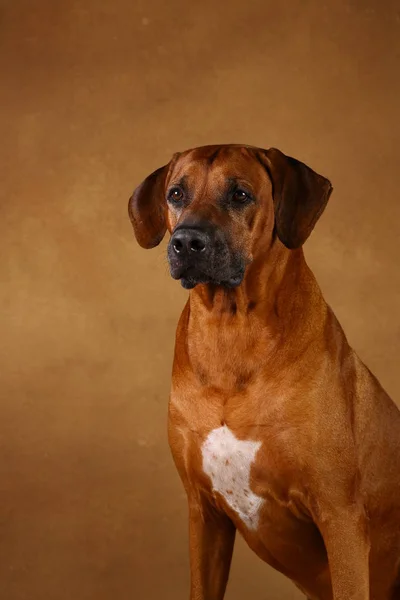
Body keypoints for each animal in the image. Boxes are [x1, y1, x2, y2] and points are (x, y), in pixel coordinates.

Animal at [128, 145, 400, 600]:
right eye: (176, 194)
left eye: (240, 194)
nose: (186, 242)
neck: (231, 330)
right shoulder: (204, 515)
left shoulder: (340, 516)